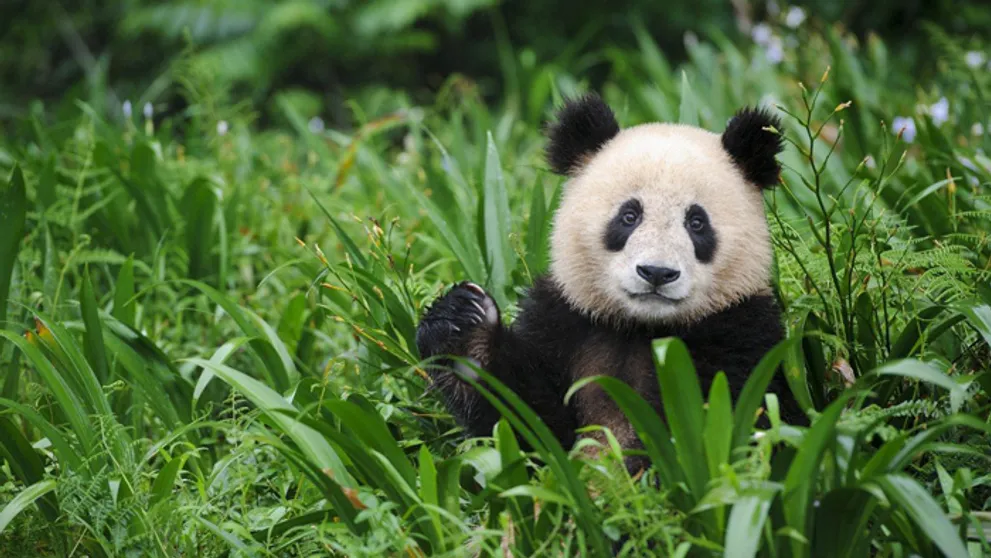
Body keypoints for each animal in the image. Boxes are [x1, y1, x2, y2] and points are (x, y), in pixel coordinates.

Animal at [416, 93, 804, 468]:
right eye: (629, 216)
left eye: (697, 223)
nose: (656, 272)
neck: (639, 327)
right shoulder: (565, 322)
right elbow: (530, 428)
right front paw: (464, 327)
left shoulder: (740, 334)